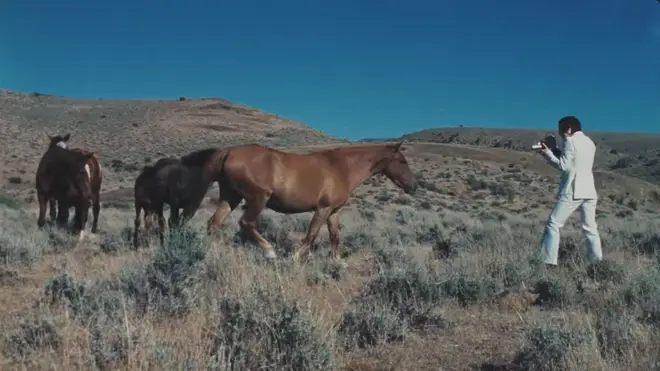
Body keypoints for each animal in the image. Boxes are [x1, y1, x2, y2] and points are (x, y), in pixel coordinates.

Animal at [179, 140, 418, 264]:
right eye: (401, 161)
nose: (413, 186)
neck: (341, 167)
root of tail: (229, 151)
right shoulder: (323, 208)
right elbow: (311, 234)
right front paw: (295, 256)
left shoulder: (333, 211)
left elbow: (335, 237)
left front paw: (337, 262)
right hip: (258, 198)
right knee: (246, 223)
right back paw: (269, 250)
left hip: (231, 197)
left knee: (213, 224)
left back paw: (209, 253)